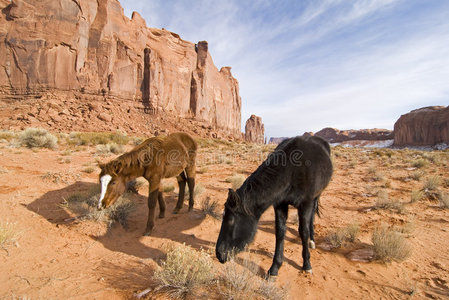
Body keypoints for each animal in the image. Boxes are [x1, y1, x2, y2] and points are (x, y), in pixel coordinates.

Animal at [215, 135, 330, 276]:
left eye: (231, 220)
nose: (219, 254)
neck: (291, 171)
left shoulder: (306, 204)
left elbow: (304, 231)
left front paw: (307, 264)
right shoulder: (280, 204)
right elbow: (280, 232)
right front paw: (274, 267)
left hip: (316, 197)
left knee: (312, 216)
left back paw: (312, 240)